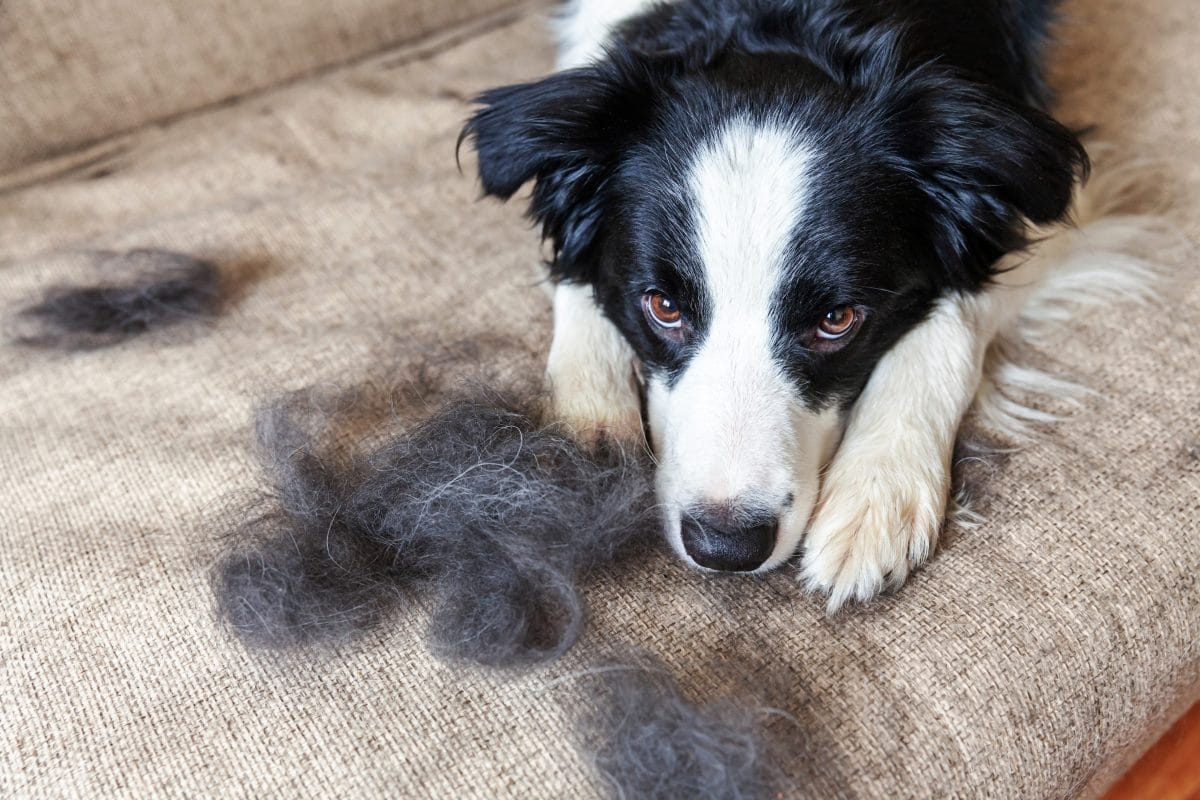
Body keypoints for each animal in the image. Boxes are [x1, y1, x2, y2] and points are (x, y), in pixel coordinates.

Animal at [460, 0, 1099, 609]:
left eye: (837, 321)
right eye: (663, 306)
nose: (726, 545)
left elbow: (954, 316)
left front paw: (875, 493)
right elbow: (579, 279)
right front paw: (586, 439)